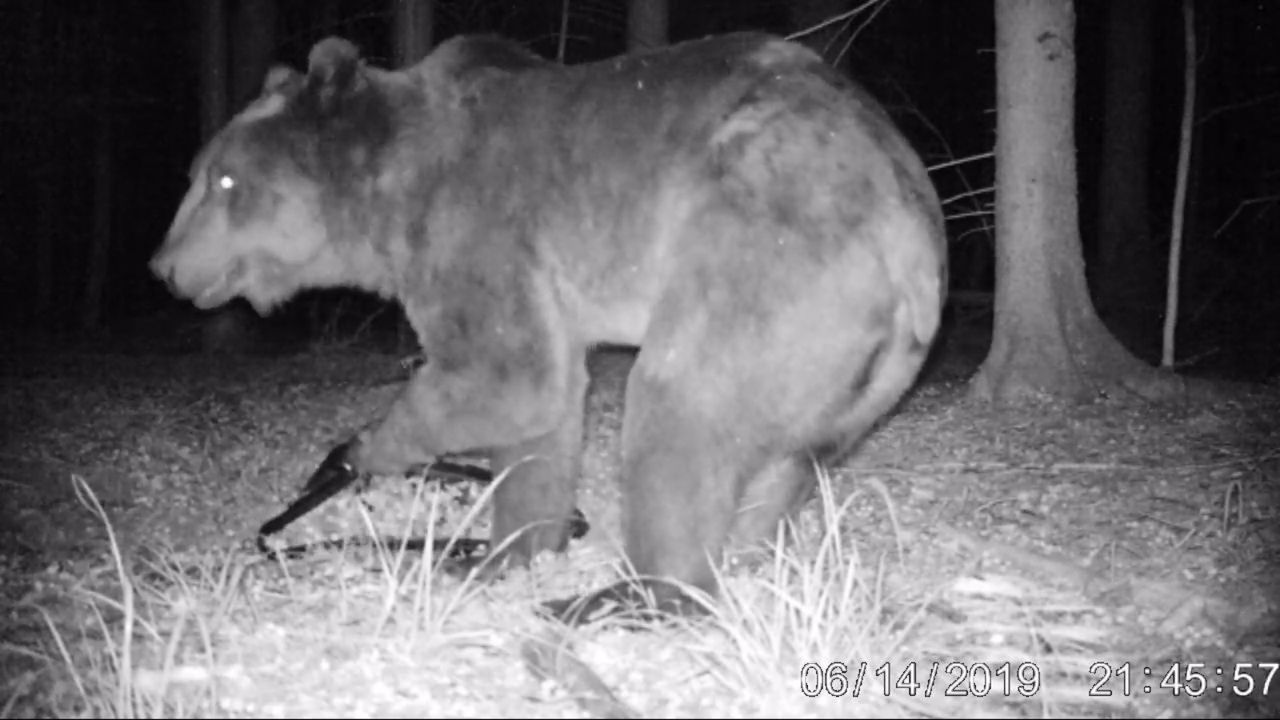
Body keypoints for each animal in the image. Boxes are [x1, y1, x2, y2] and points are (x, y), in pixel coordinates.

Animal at [152, 30, 952, 620]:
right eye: (198, 174)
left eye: (223, 180)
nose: (163, 265)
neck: (390, 198)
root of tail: (911, 235)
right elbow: (546, 415)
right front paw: (514, 549)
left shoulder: (482, 226)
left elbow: (509, 374)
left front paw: (369, 450)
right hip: (849, 369)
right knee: (784, 460)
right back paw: (744, 555)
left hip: (768, 255)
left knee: (678, 407)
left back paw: (630, 594)